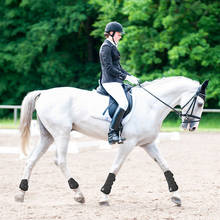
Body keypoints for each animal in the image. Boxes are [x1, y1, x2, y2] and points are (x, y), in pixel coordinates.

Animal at [15, 76, 208, 205]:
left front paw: (176, 195)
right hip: (62, 133)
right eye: (199, 104)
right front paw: (104, 196)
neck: (150, 106)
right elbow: (116, 167)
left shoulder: (148, 143)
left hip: (47, 136)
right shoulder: (128, 143)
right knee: (60, 160)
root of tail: (43, 93)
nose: (191, 128)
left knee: (31, 160)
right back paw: (78, 194)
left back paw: (21, 193)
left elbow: (165, 166)